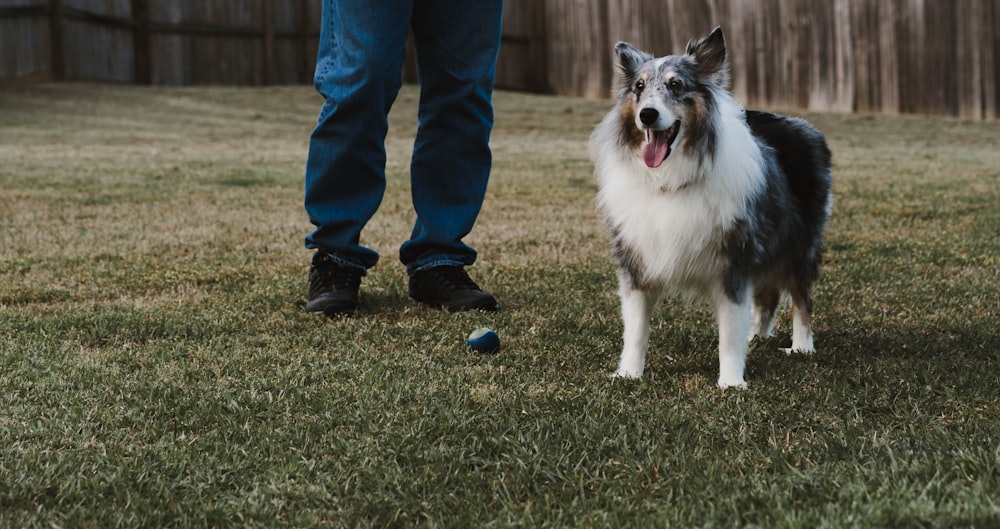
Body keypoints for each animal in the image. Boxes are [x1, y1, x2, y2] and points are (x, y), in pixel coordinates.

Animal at [588, 25, 832, 388]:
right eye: (639, 87)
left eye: (676, 85)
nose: (647, 115)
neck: (670, 180)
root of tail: (797, 123)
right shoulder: (637, 260)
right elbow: (635, 329)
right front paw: (629, 373)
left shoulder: (733, 260)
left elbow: (728, 333)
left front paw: (731, 382)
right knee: (768, 296)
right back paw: (756, 335)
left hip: (799, 245)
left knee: (801, 297)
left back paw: (802, 346)